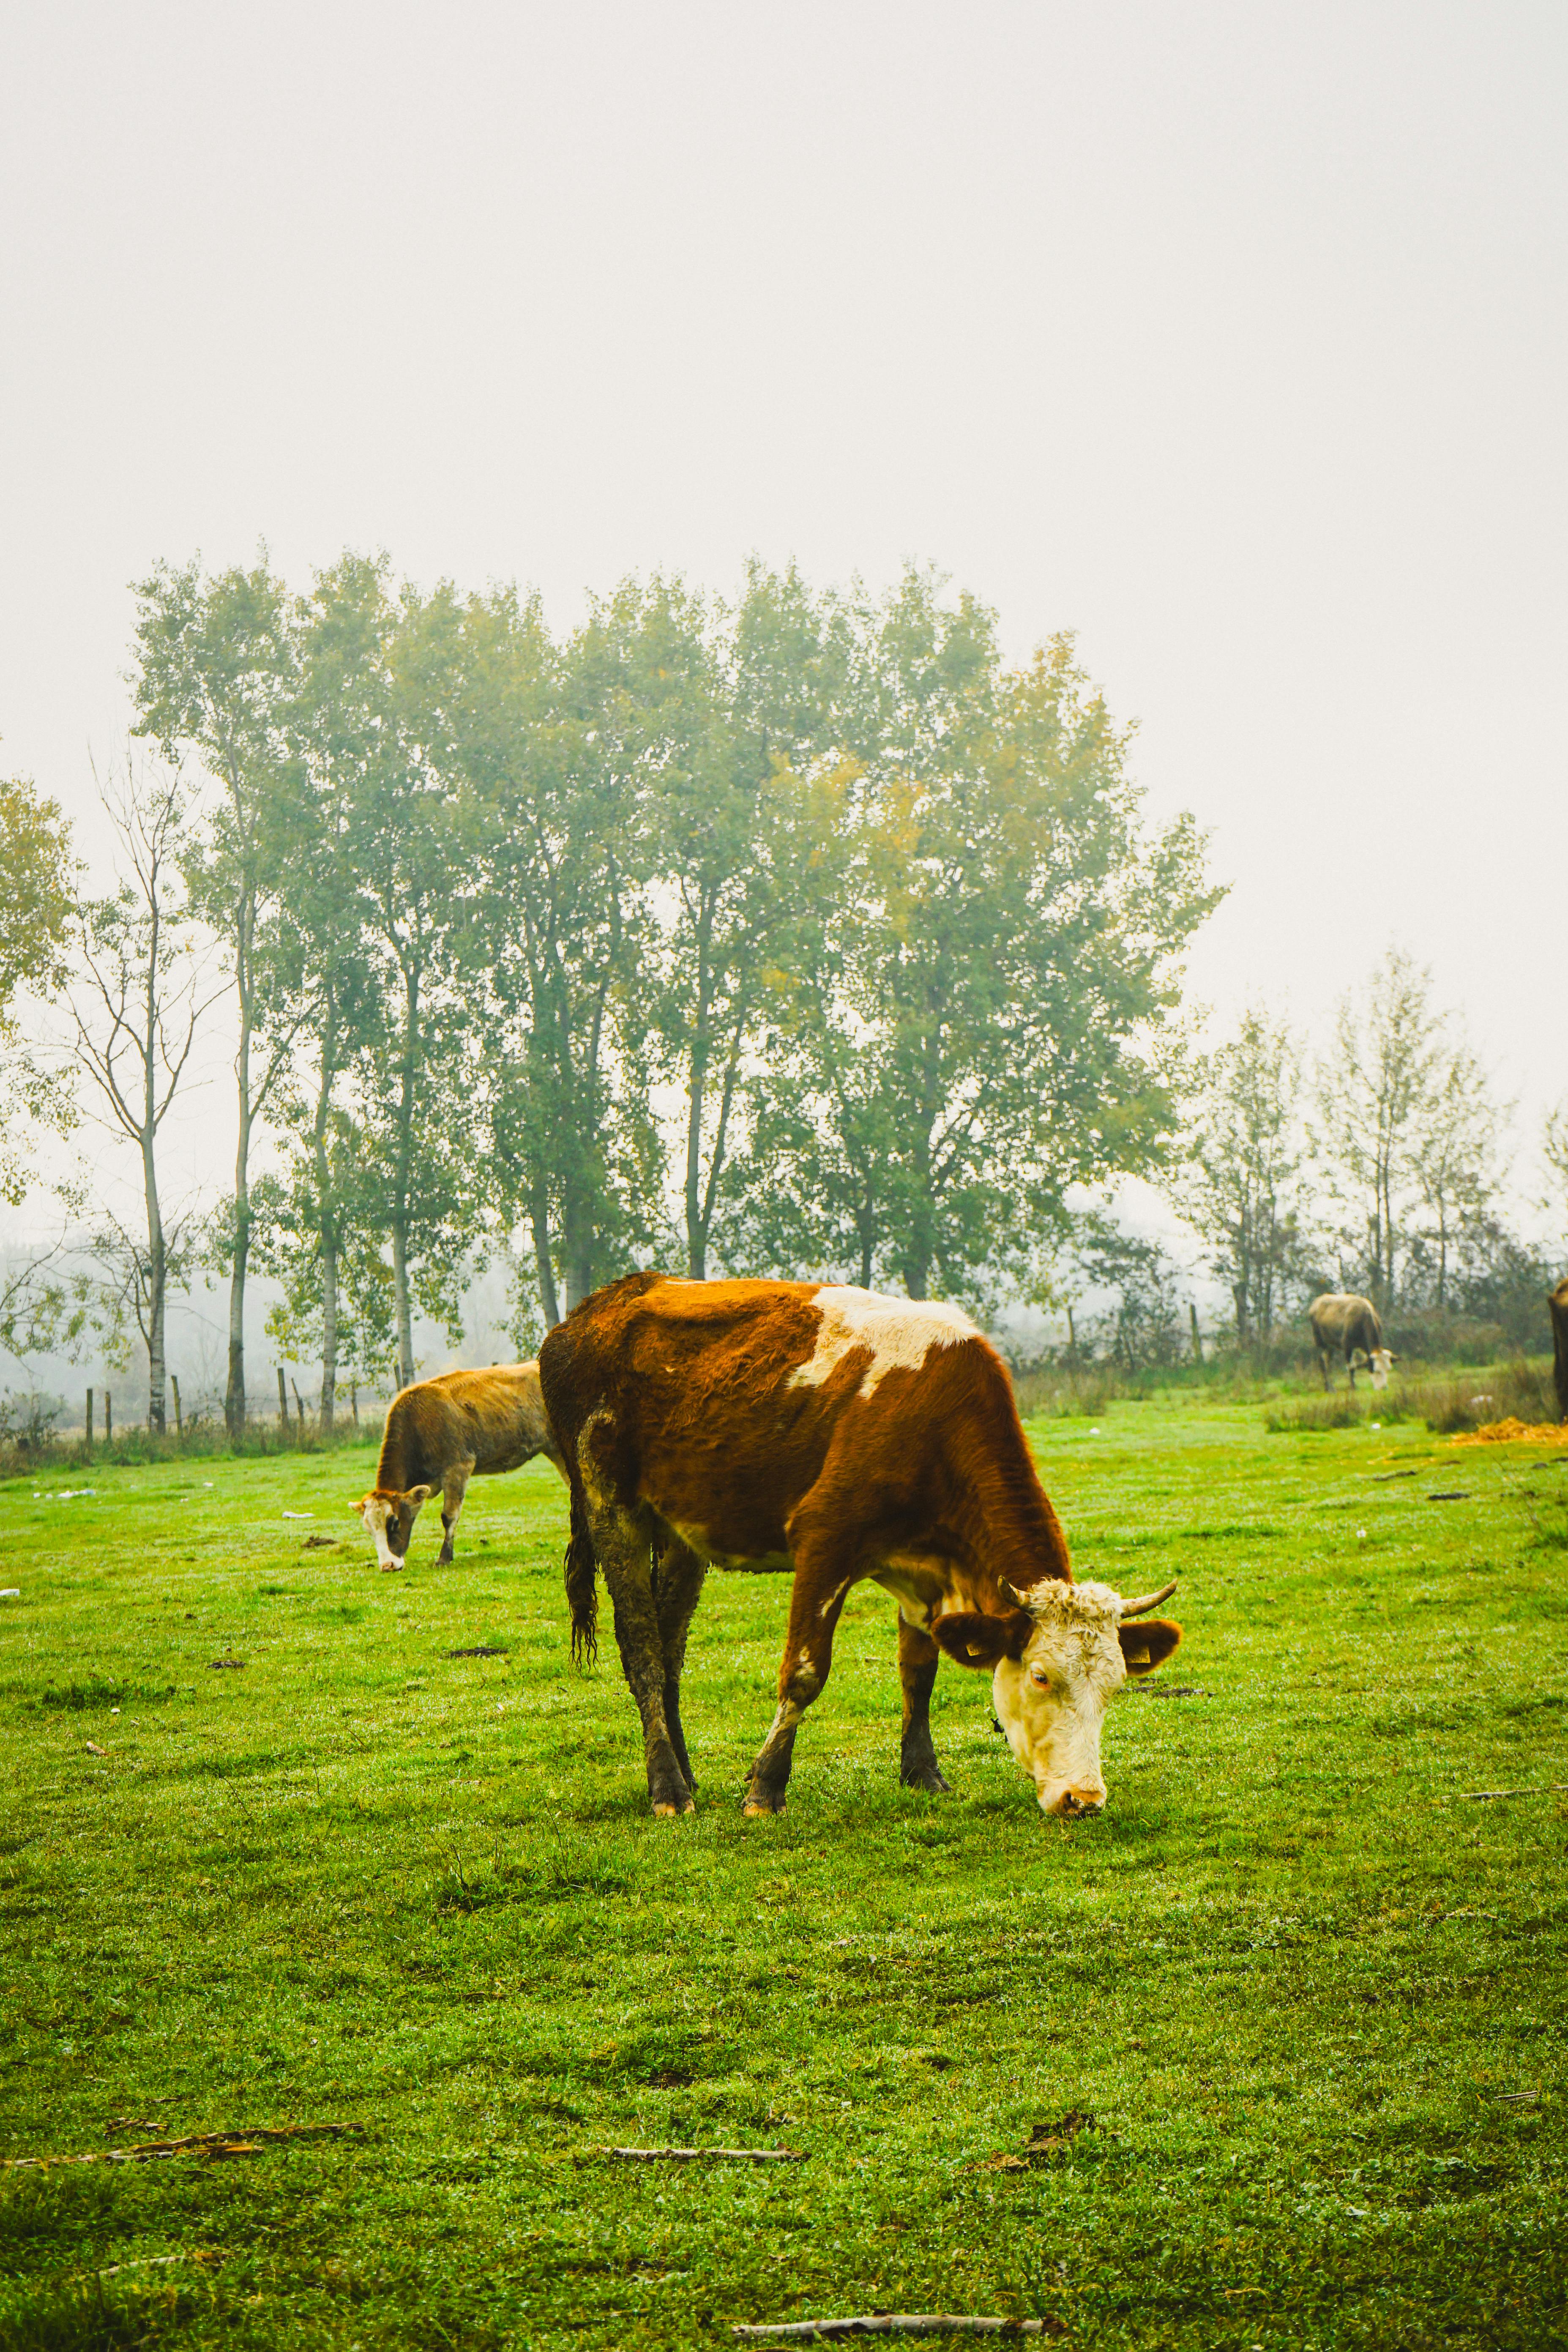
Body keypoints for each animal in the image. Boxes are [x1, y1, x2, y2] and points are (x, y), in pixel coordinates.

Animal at [355, 1373, 571, 1571]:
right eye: (369, 1530)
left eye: (395, 1523)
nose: (387, 1566)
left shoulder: (457, 1467)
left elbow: (449, 1516)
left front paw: (444, 1557)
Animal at [533, 1279, 1185, 1825]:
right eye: (1042, 1677)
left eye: (1115, 1686)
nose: (1083, 1796)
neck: (934, 1413)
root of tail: (599, 1305)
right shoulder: (824, 1542)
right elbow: (803, 1673)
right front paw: (765, 1788)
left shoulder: (924, 1571)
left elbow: (918, 1671)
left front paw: (922, 1773)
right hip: (609, 1503)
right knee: (642, 1647)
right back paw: (667, 1788)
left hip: (681, 1528)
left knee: (669, 1648)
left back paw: (685, 1773)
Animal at [1316, 1298, 1401, 1383]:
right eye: (1377, 1371)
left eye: (1388, 1370)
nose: (1383, 1386)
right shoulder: (1347, 1346)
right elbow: (1351, 1368)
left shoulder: (1363, 1347)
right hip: (1320, 1343)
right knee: (1322, 1363)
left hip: (1330, 1345)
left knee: (1328, 1362)